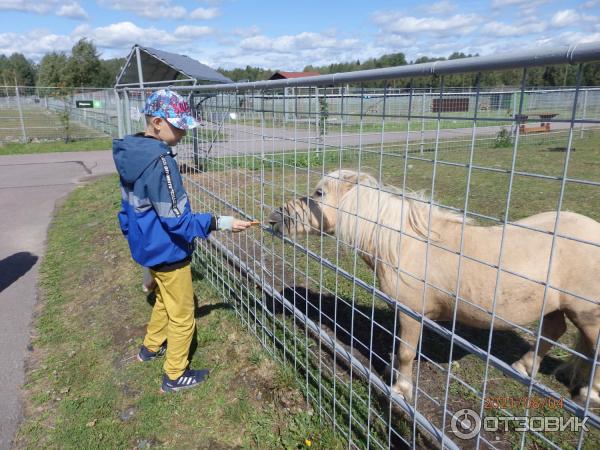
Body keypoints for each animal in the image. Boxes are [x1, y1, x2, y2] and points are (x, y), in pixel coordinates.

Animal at [268, 171, 600, 406]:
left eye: (319, 193)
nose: (275, 216)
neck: (405, 245)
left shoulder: (412, 313)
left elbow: (406, 352)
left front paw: (400, 389)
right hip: (558, 308)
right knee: (554, 332)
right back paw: (528, 368)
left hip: (588, 317)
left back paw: (588, 395)